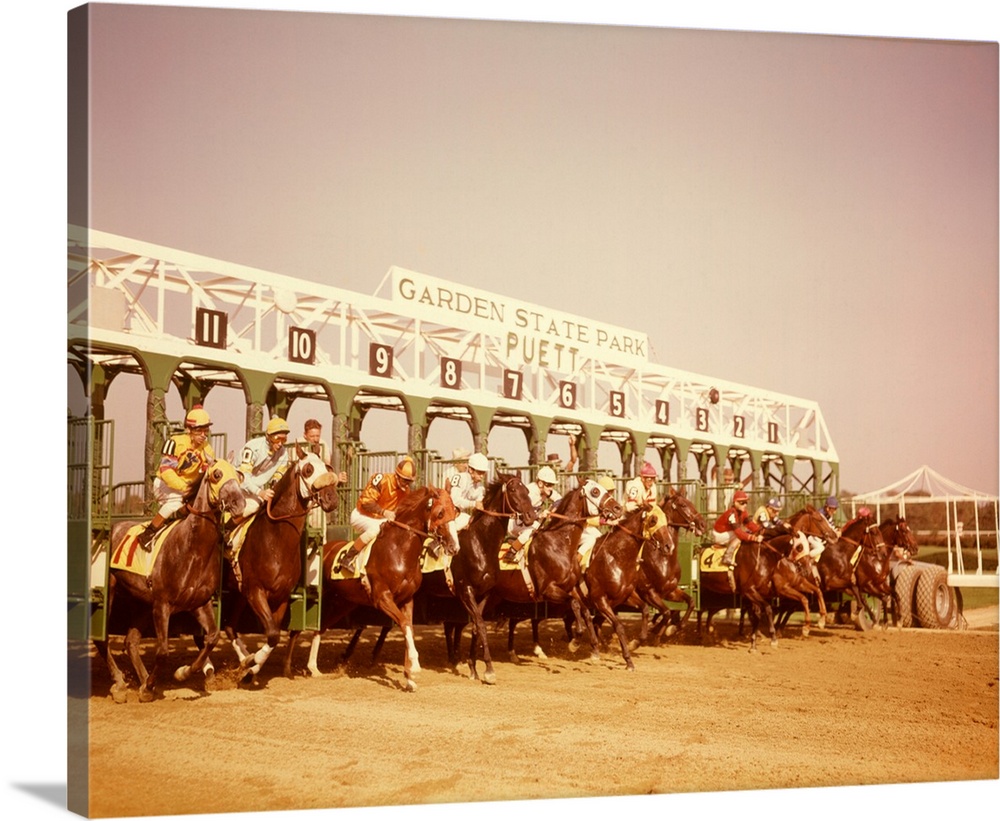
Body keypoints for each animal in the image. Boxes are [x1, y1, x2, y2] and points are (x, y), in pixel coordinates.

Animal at [96, 458, 246, 700]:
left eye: (240, 476)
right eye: (217, 474)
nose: (240, 503)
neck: (193, 549)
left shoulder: (199, 603)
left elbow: (212, 637)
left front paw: (182, 673)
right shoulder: (162, 604)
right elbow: (163, 651)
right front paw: (149, 687)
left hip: (141, 602)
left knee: (131, 641)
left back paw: (142, 680)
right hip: (111, 593)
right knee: (103, 639)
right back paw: (120, 683)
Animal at [223, 446, 340, 684]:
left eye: (328, 467)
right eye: (308, 469)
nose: (331, 498)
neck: (275, 540)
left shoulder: (280, 597)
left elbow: (273, 635)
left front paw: (251, 668)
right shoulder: (256, 592)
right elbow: (272, 634)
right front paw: (252, 664)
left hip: (239, 594)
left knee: (230, 627)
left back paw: (244, 659)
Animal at [304, 484, 460, 688]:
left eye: (455, 512)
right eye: (440, 513)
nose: (454, 547)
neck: (400, 551)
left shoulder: (407, 599)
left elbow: (408, 627)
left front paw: (409, 678)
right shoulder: (382, 597)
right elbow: (403, 624)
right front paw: (415, 664)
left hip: (342, 604)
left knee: (319, 627)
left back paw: (313, 667)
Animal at [580, 502, 672, 668]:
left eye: (666, 520)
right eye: (653, 520)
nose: (669, 546)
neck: (616, 557)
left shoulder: (624, 596)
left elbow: (646, 610)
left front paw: (635, 642)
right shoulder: (599, 599)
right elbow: (619, 626)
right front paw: (628, 660)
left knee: (593, 620)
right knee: (586, 616)